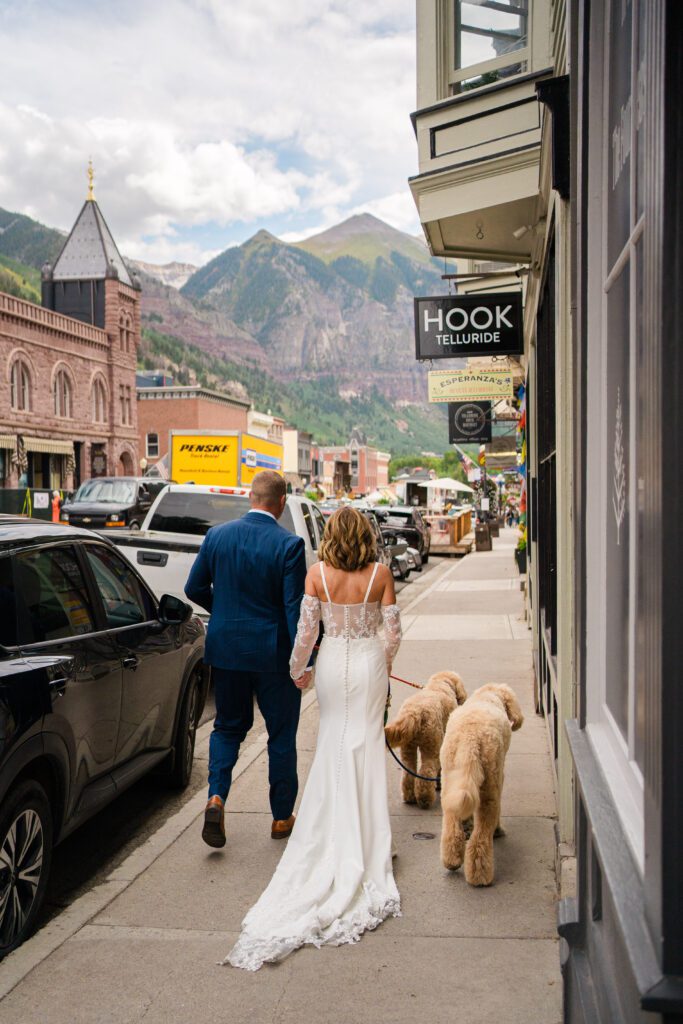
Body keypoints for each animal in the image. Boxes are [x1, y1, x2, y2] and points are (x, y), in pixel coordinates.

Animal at [385, 671, 471, 806]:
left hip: (408, 747)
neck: (440, 683)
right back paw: (425, 798)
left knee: (408, 771)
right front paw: (439, 784)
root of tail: (414, 713)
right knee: (427, 770)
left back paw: (409, 797)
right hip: (432, 745)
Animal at [438, 688, 524, 888]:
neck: (488, 694)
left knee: (451, 824)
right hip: (489, 787)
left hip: (450, 782)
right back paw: (480, 876)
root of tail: (470, 739)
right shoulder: (499, 776)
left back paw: (452, 860)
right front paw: (498, 830)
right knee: (481, 836)